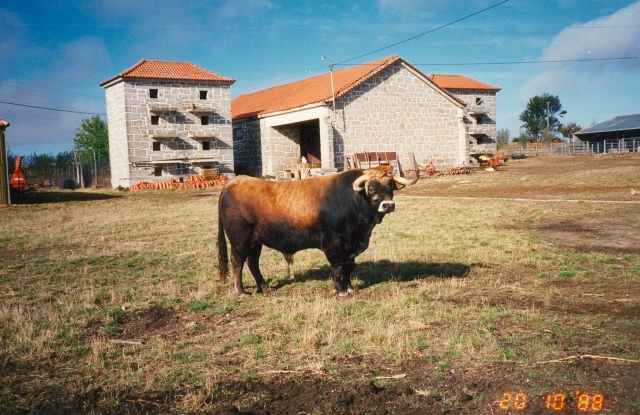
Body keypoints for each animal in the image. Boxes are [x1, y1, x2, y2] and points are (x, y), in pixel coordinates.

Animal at [216, 164, 416, 298]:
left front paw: (349, 288)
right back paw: (240, 291)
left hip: (255, 241)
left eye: (390, 186)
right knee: (237, 262)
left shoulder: (351, 247)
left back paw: (264, 286)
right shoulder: (334, 245)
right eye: (372, 188)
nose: (388, 205)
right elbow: (338, 268)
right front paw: (339, 291)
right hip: (240, 240)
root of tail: (234, 182)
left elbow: (349, 267)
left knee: (253, 262)